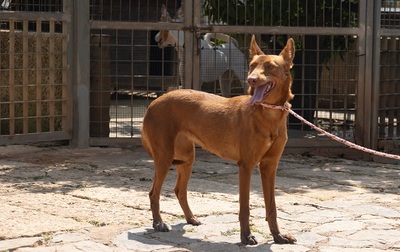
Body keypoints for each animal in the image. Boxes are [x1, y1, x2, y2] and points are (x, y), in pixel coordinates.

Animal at [142, 34, 296, 245]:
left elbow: (271, 206)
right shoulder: (246, 165)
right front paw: (246, 236)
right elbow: (245, 206)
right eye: (252, 65)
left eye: (270, 66)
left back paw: (190, 218)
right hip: (165, 157)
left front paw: (278, 236)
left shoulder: (270, 166)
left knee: (179, 190)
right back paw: (158, 223)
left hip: (187, 158)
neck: (268, 115)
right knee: (153, 193)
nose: (251, 80)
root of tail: (153, 103)